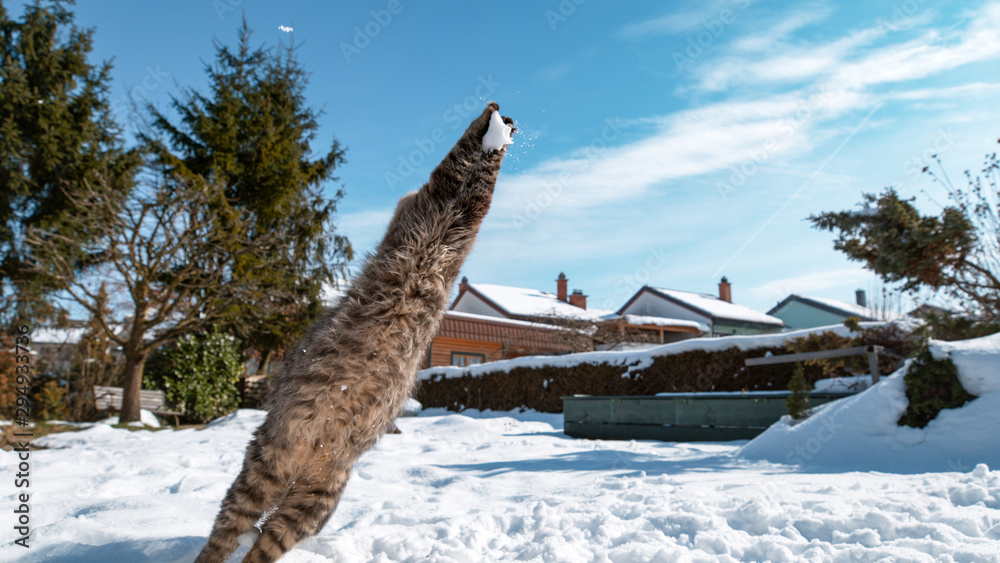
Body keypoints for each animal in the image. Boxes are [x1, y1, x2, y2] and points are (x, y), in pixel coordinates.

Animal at [197, 102, 516, 563]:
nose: (507, 119)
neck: (439, 243)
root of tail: (304, 459)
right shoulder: (442, 204)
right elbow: (470, 171)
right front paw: (494, 130)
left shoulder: (442, 200)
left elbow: (470, 167)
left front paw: (492, 132)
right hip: (288, 489)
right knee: (244, 537)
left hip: (303, 494)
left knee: (243, 538)